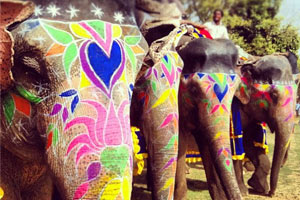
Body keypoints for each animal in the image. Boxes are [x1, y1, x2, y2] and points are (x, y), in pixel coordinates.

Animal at [233, 52, 298, 197]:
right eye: (273, 95)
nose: (271, 194)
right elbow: (236, 142)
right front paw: (243, 192)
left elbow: (248, 142)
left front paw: (258, 186)